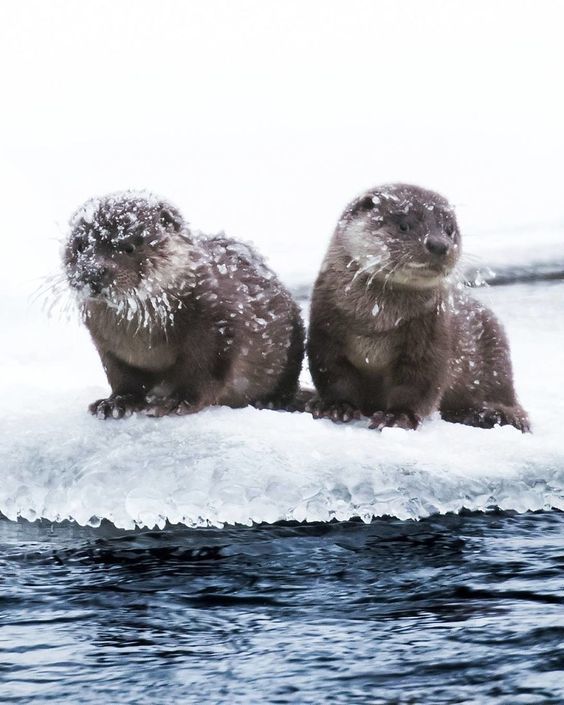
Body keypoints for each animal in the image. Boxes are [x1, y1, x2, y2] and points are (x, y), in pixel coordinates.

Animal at [62, 191, 304, 418]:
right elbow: (123, 377)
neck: (142, 338)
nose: (92, 271)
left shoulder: (218, 328)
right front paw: (116, 402)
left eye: (129, 247)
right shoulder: (108, 347)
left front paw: (176, 402)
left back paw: (273, 400)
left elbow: (203, 373)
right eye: (80, 245)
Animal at [306, 182, 532, 432]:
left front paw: (396, 417)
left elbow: (418, 385)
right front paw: (336, 406)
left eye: (449, 230)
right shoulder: (327, 331)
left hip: (496, 358)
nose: (438, 244)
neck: (377, 323)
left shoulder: (431, 336)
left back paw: (493, 413)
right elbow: (334, 374)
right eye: (404, 225)